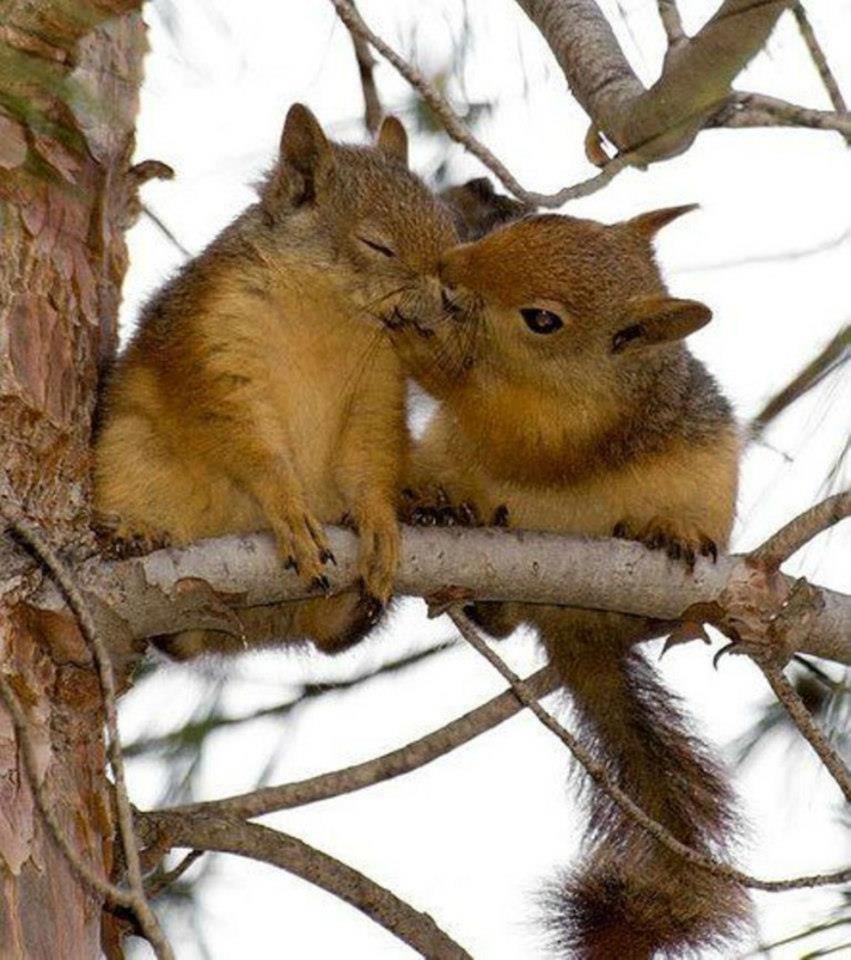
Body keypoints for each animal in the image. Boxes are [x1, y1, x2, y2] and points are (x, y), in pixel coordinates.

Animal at [91, 105, 460, 660]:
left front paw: (378, 517)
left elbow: (370, 452)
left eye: (447, 226)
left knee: (329, 637)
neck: (330, 315)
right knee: (178, 640)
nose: (451, 298)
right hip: (128, 453)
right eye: (377, 244)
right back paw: (136, 536)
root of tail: (259, 629)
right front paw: (287, 505)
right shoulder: (212, 343)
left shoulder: (378, 384)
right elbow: (242, 436)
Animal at [392, 210, 752, 960]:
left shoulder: (572, 426)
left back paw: (664, 538)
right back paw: (460, 545)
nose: (451, 265)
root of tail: (574, 629)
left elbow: (518, 430)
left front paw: (423, 346)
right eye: (525, 223)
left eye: (543, 320)